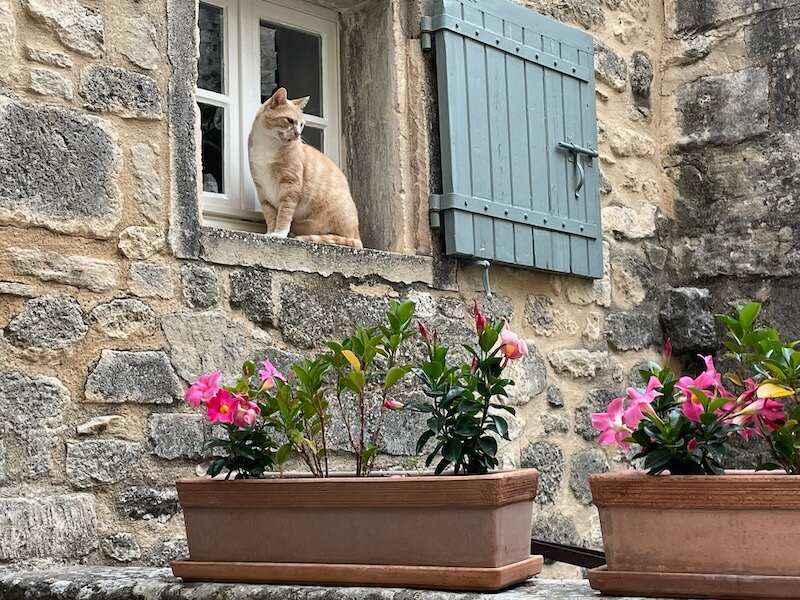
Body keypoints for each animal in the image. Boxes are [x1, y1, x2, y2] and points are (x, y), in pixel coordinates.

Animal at [248, 87, 364, 248]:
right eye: (289, 120)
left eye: (301, 124)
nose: (298, 134)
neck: (268, 144)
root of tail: (358, 234)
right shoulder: (262, 190)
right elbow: (270, 216)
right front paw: (270, 233)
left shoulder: (291, 186)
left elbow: (284, 215)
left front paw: (279, 234)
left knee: (345, 239)